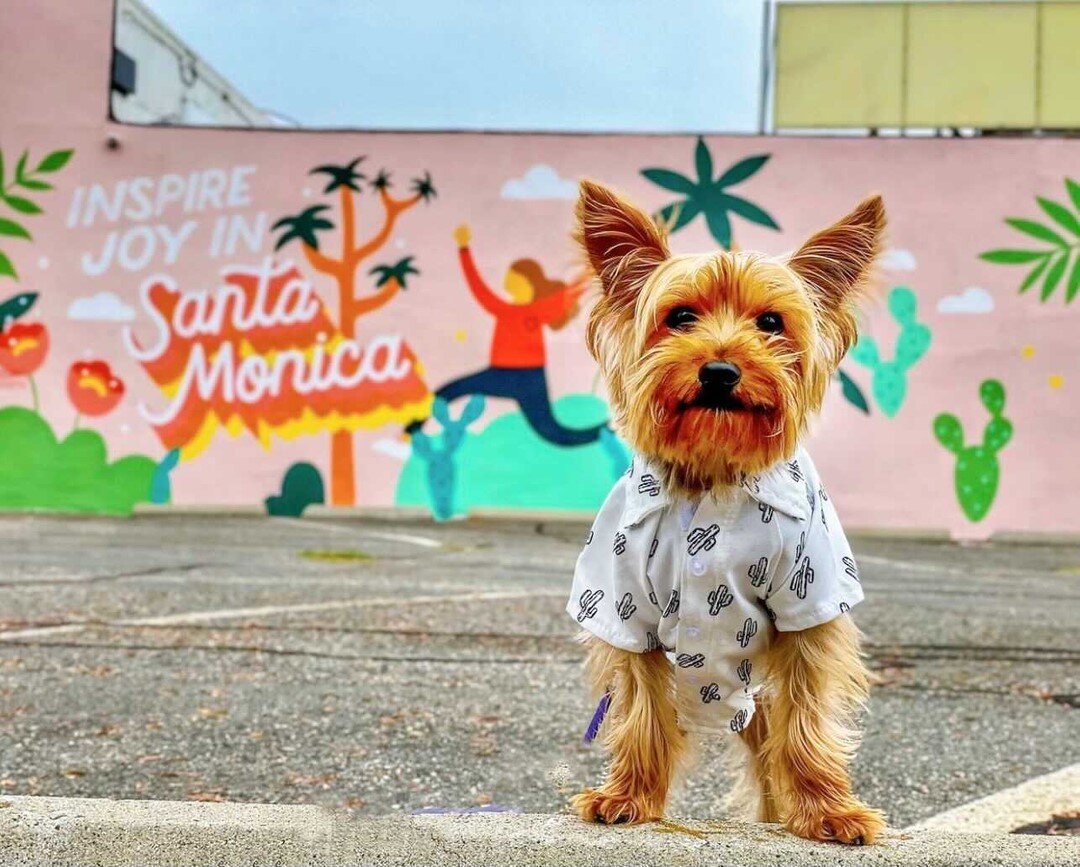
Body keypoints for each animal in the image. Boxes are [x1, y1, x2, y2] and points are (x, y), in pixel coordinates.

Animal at [565, 179, 885, 846]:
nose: (719, 370)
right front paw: (628, 796)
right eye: (680, 317)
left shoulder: (810, 603)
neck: (714, 472)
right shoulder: (624, 609)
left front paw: (829, 811)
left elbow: (808, 717)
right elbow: (639, 708)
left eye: (771, 323)